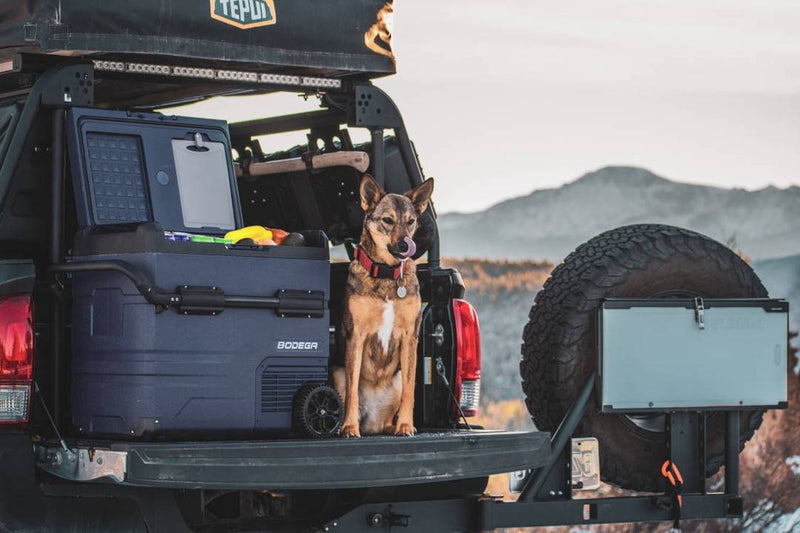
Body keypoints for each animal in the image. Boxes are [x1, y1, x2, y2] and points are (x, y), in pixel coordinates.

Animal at [330, 175, 434, 436]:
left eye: (411, 222)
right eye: (388, 220)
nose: (407, 245)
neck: (387, 273)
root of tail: (372, 422)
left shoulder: (410, 337)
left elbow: (410, 390)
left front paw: (406, 425)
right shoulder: (356, 336)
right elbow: (353, 389)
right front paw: (349, 427)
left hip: (394, 383)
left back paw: (392, 426)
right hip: (337, 373)